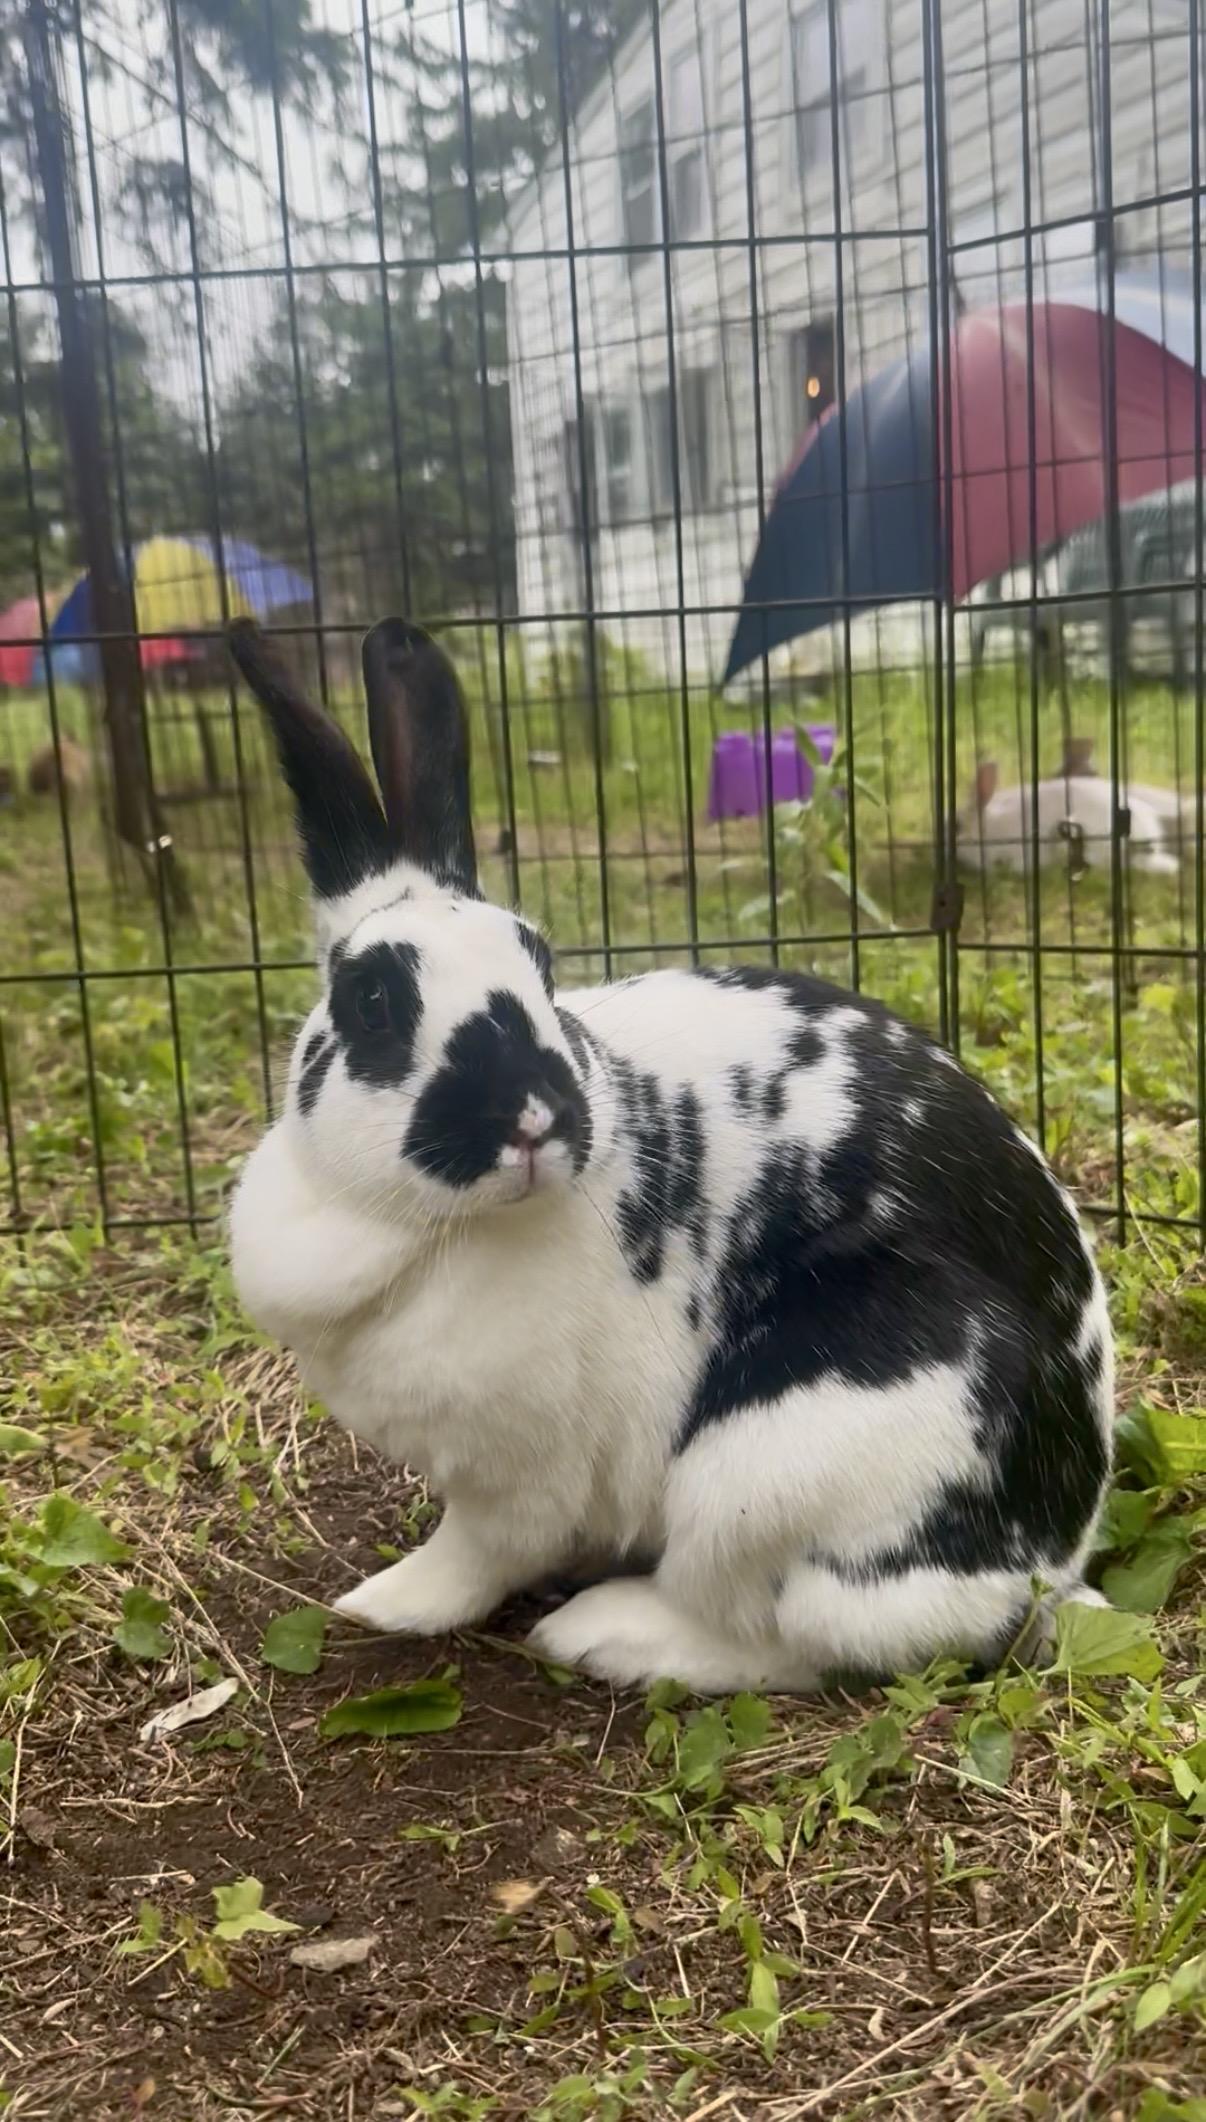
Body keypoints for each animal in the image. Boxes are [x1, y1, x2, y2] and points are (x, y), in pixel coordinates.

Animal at [226, 615, 1114, 1695]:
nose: (533, 1118)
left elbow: (477, 1554)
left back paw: (603, 1631)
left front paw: (388, 1602)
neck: (418, 1224)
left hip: (768, 1473)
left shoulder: (517, 1478)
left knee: (782, 1637)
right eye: (374, 1002)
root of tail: (1046, 1563)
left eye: (540, 964)